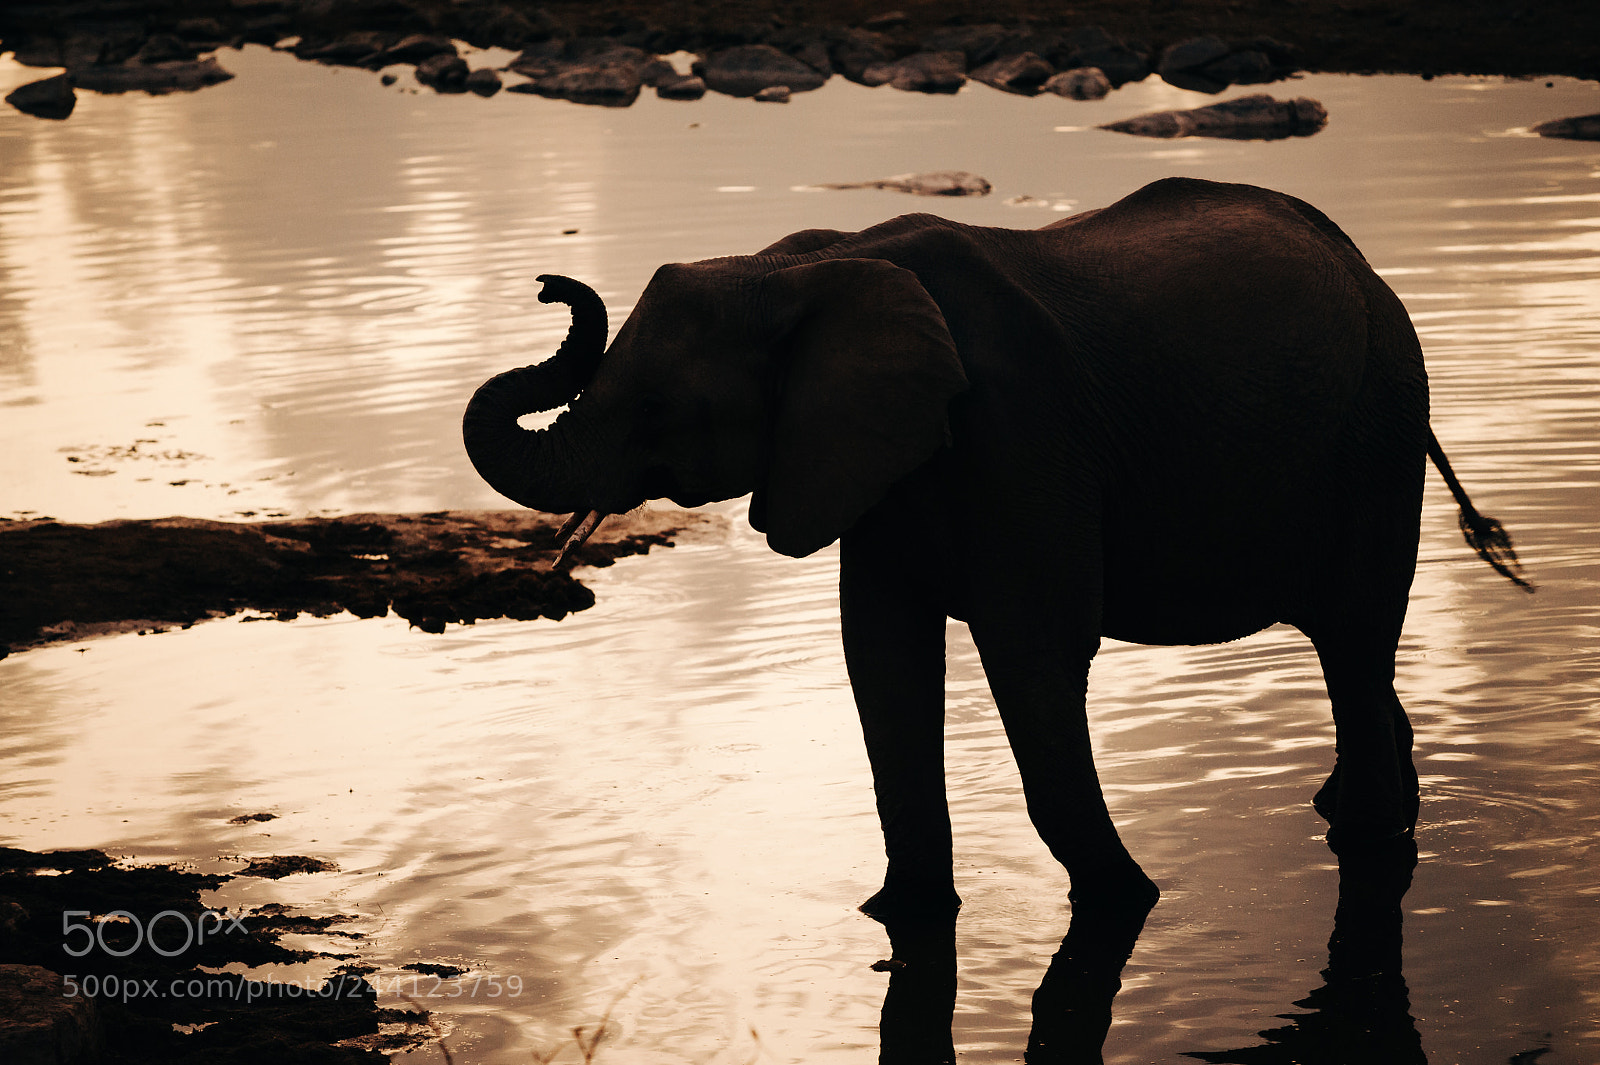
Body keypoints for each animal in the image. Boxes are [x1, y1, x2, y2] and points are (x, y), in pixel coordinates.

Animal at [463, 177, 1529, 918]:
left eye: (654, 411)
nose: (550, 284)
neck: (805, 264)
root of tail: (1362, 261)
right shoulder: (875, 460)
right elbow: (882, 659)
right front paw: (898, 914)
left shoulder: (1023, 435)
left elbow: (1033, 654)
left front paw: (1129, 903)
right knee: (1358, 651)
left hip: (1378, 426)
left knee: (1353, 638)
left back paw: (1368, 834)